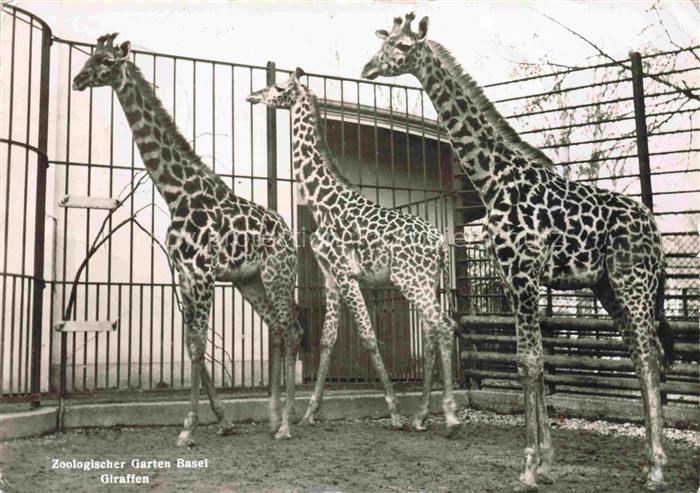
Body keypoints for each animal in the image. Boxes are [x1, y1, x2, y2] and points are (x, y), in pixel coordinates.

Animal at [72, 33, 307, 445]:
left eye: (104, 61)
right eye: (89, 56)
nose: (78, 79)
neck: (175, 192)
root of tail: (288, 234)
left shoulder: (201, 273)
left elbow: (198, 344)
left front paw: (188, 427)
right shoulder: (183, 273)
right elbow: (190, 343)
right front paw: (222, 420)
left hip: (278, 275)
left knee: (292, 330)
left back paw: (286, 424)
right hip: (250, 281)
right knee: (277, 329)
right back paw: (273, 416)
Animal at [247, 68, 461, 433]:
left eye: (277, 86)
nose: (253, 96)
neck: (321, 202)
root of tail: (440, 245)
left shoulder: (347, 274)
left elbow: (368, 336)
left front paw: (393, 411)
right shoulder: (331, 277)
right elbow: (328, 339)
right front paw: (309, 412)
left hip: (410, 280)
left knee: (443, 326)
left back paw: (447, 416)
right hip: (426, 282)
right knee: (433, 332)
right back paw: (421, 415)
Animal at [362, 13, 675, 492]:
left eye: (401, 46)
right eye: (384, 41)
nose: (368, 68)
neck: (493, 178)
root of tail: (655, 229)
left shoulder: (524, 275)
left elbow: (527, 363)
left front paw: (528, 465)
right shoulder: (512, 281)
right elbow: (536, 363)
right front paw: (545, 462)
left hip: (632, 282)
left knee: (648, 352)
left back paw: (657, 467)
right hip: (606, 287)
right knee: (642, 353)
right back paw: (647, 462)